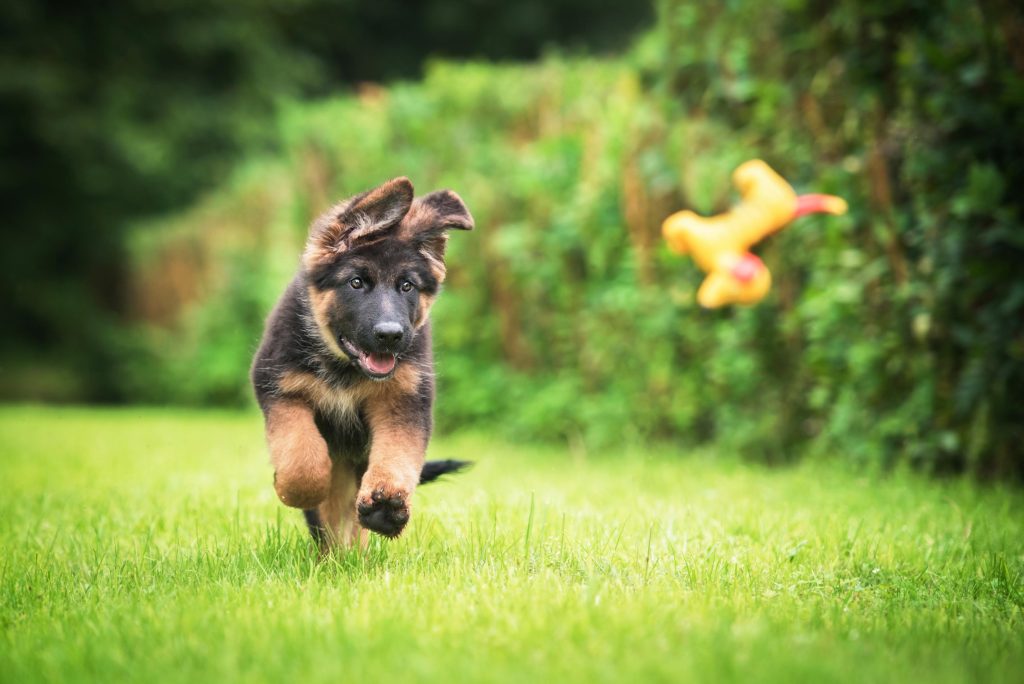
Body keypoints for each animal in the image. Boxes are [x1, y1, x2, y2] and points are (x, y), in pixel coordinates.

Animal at [249, 178, 473, 548]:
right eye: (356, 282)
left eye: (407, 286)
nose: (390, 335)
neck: (346, 368)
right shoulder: (281, 389)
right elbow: (301, 457)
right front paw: (297, 489)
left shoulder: (404, 401)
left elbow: (397, 454)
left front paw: (387, 505)